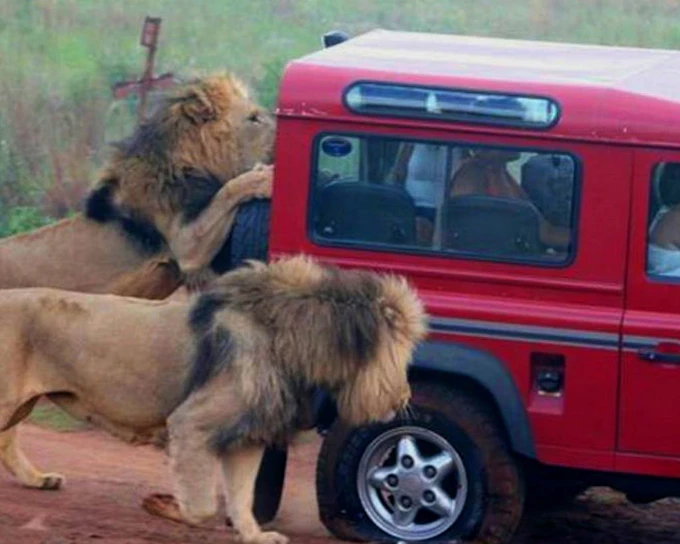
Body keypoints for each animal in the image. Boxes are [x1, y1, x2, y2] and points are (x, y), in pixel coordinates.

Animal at [0, 255, 427, 543]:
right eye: (402, 354)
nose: (406, 395)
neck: (293, 341)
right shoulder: (190, 423)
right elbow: (202, 506)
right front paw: (164, 505)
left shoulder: (248, 436)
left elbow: (242, 496)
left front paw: (254, 535)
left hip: (19, 403)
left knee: (8, 441)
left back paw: (38, 480)